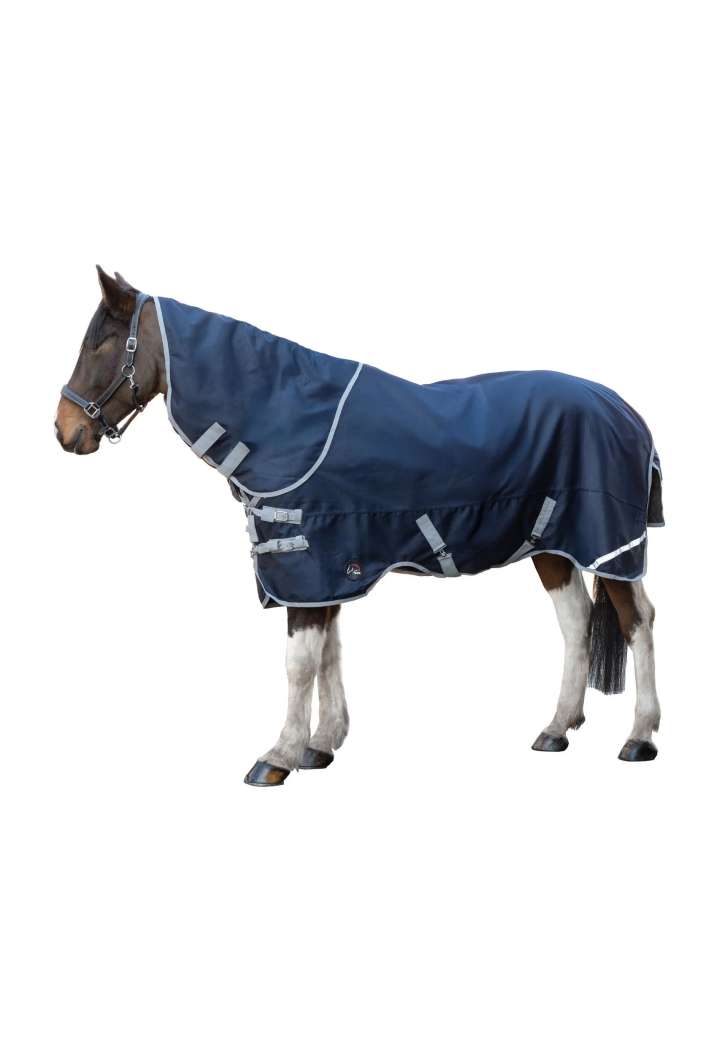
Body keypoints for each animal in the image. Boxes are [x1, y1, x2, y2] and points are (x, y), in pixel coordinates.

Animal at [55, 267, 663, 784]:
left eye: (101, 344)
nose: (65, 430)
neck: (284, 419)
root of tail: (624, 410)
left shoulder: (306, 562)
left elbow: (300, 662)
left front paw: (278, 756)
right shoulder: (326, 567)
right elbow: (329, 654)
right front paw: (321, 744)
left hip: (609, 544)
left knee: (637, 621)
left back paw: (640, 737)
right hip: (553, 547)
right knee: (576, 622)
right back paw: (557, 728)